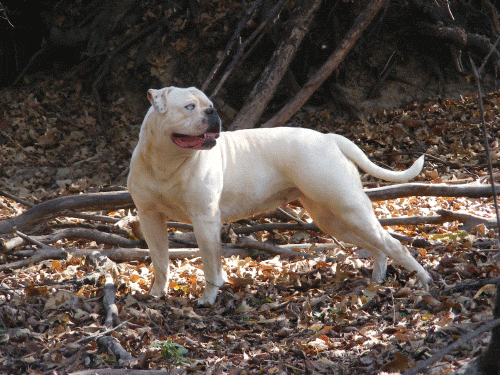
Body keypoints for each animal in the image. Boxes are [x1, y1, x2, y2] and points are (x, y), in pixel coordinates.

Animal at [127, 86, 432, 306]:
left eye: (208, 104)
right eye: (189, 107)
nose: (212, 111)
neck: (166, 162)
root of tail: (329, 138)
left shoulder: (205, 220)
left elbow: (211, 265)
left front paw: (208, 298)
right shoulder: (150, 218)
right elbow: (160, 260)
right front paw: (156, 294)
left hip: (349, 207)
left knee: (394, 245)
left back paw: (423, 279)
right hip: (332, 219)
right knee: (377, 247)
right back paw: (377, 281)